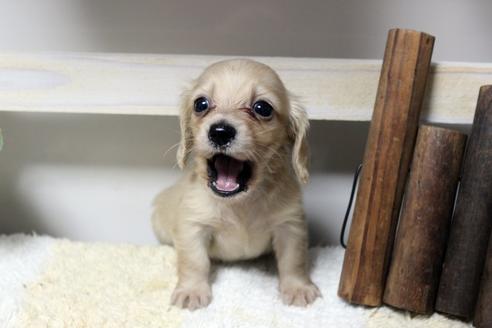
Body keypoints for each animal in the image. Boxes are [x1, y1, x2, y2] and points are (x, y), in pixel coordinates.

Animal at [152, 59, 320, 310]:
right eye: (201, 104)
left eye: (262, 108)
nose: (220, 132)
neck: (241, 203)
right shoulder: (193, 226)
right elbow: (194, 262)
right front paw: (191, 291)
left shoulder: (290, 226)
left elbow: (294, 261)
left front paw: (298, 288)